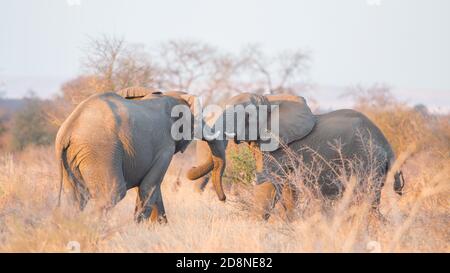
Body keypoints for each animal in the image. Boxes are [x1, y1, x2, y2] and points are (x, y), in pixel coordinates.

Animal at [55, 86, 219, 222]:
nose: (191, 168)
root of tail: (67, 129)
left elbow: (152, 187)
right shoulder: (165, 147)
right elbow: (149, 186)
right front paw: (140, 228)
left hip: (75, 157)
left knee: (76, 198)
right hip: (100, 151)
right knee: (112, 193)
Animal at [186, 92, 404, 220]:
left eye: (246, 116)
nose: (223, 199)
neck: (269, 99)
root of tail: (388, 146)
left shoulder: (280, 147)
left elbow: (268, 183)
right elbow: (288, 190)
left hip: (366, 161)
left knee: (364, 201)